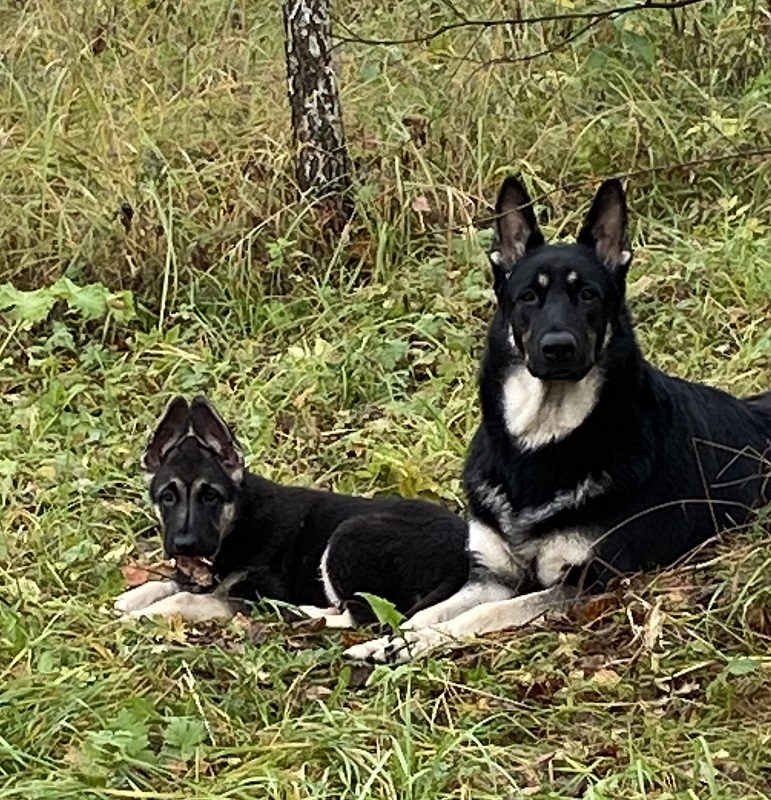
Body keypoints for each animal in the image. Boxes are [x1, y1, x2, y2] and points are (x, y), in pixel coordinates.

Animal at [112, 396, 468, 628]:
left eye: (210, 496)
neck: (238, 522)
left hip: (348, 535)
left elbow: (187, 598)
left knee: (363, 616)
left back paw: (302, 614)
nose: (184, 545)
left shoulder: (250, 592)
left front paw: (141, 614)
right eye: (167, 497)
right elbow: (167, 584)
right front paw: (126, 601)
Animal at [348, 177, 771, 664]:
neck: (540, 444)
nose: (558, 348)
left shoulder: (582, 584)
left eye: (587, 294)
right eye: (529, 296)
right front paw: (388, 640)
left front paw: (426, 641)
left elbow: (480, 615)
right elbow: (425, 612)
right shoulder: (491, 576)